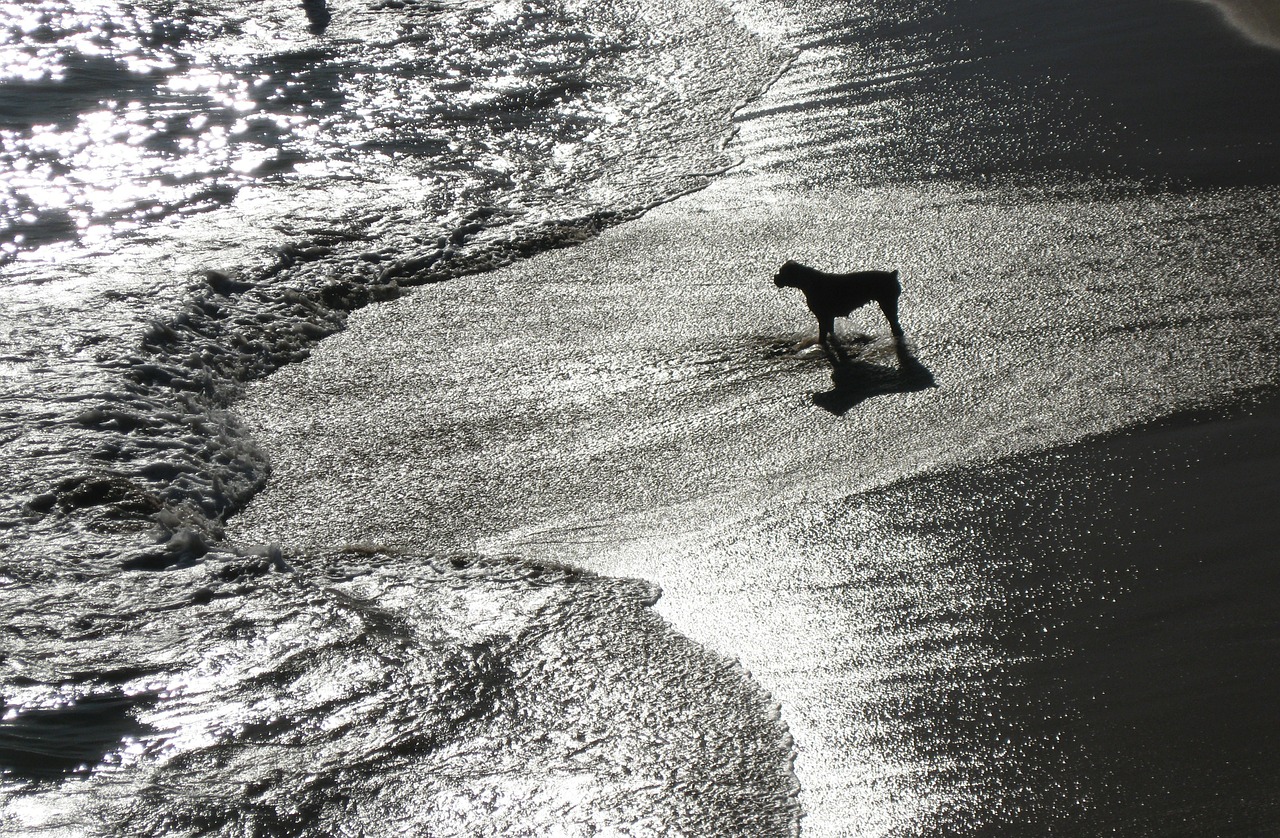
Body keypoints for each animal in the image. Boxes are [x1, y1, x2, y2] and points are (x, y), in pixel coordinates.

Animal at [773, 260, 906, 355]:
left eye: (782, 273)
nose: (775, 277)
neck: (808, 282)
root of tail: (892, 275)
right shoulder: (829, 318)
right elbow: (830, 332)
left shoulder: (823, 318)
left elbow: (822, 336)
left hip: (888, 304)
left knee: (894, 324)